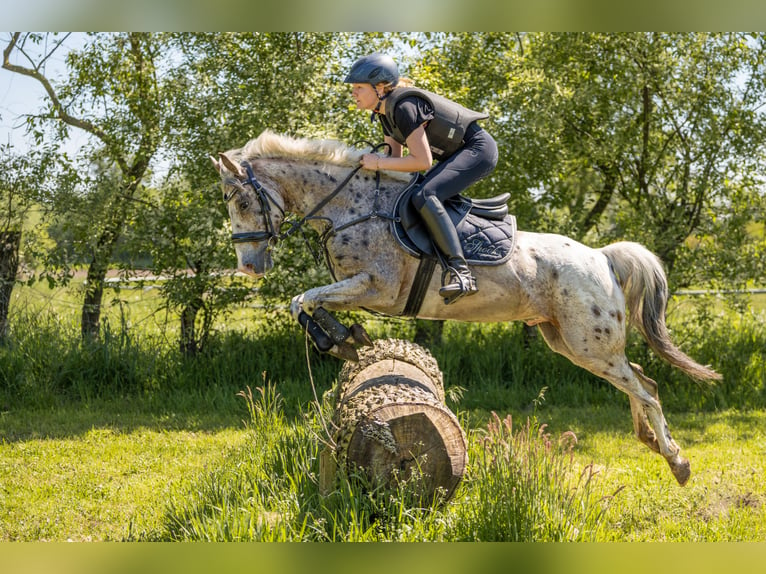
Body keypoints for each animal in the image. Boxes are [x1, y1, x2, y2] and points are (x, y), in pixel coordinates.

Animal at [212, 129, 728, 486]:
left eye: (240, 201)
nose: (249, 267)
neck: (351, 208)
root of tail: (602, 256)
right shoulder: (360, 288)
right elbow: (302, 301)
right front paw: (345, 338)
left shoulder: (376, 287)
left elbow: (303, 298)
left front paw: (337, 339)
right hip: (569, 342)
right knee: (642, 380)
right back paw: (652, 443)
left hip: (589, 344)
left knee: (646, 389)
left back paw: (677, 461)